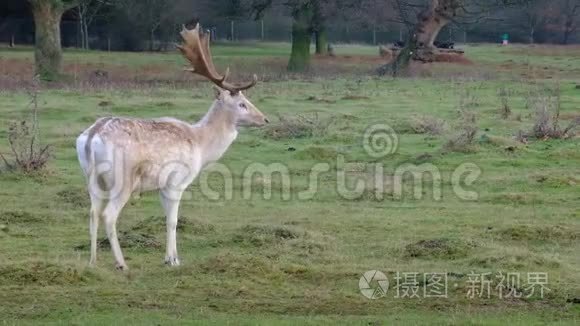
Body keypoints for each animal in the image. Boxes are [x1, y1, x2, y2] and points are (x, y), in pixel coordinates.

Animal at [76, 24, 268, 270]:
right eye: (242, 103)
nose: (264, 119)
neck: (201, 144)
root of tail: (92, 135)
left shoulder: (161, 185)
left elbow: (167, 218)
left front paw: (171, 257)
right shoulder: (177, 181)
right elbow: (172, 220)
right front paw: (173, 259)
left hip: (92, 179)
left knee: (92, 213)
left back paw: (92, 262)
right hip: (122, 179)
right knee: (109, 215)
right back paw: (121, 264)